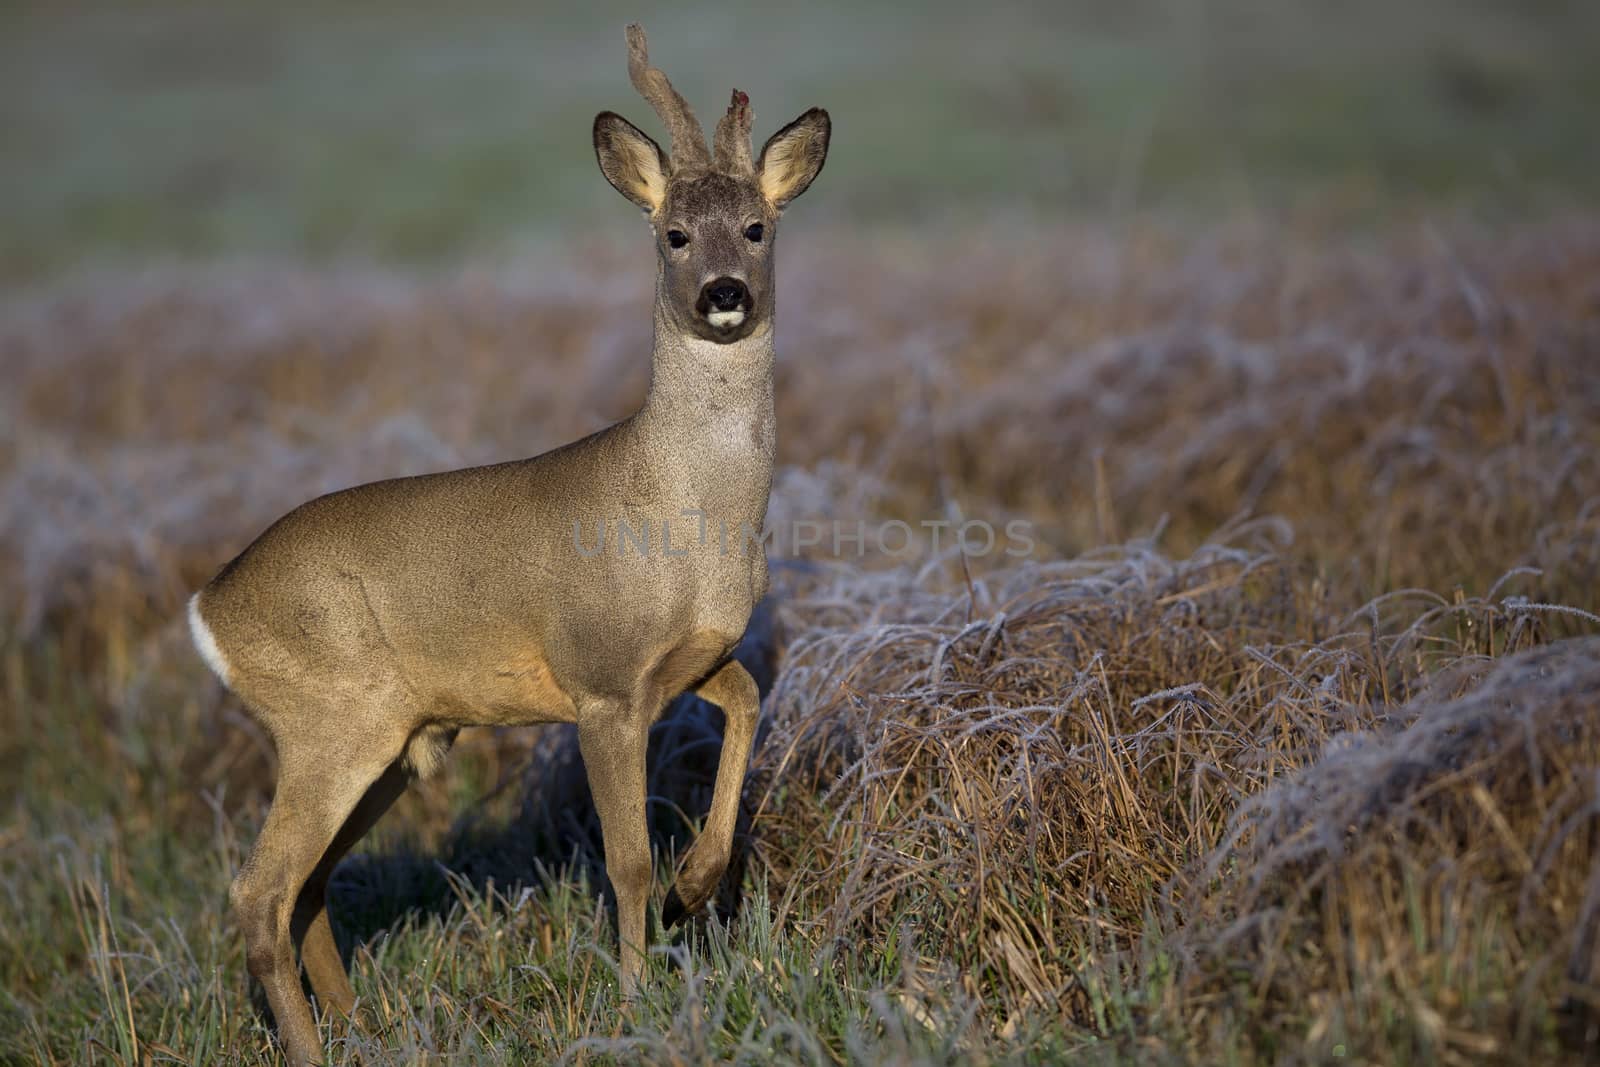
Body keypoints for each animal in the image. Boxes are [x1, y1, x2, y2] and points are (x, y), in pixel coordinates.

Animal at [190, 27, 825, 1067]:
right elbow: (624, 857)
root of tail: (207, 608)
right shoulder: (600, 681)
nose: (724, 292)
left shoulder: (689, 661)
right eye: (673, 234)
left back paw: (367, 1025)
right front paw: (635, 997)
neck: (684, 514)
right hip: (332, 717)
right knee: (258, 889)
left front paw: (697, 887)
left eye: (757, 227)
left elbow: (746, 702)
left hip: (396, 739)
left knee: (309, 885)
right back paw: (316, 1044)